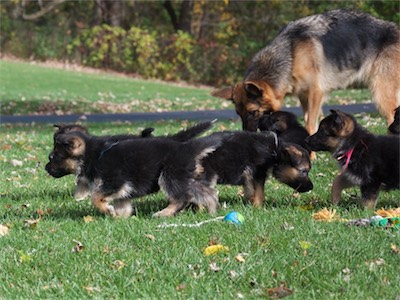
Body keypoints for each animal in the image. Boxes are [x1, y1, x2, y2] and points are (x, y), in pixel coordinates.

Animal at [212, 9, 400, 134]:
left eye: (252, 112)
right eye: (239, 113)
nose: (246, 135)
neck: (291, 54)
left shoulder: (316, 94)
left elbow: (310, 124)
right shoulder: (304, 97)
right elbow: (310, 122)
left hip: (382, 94)